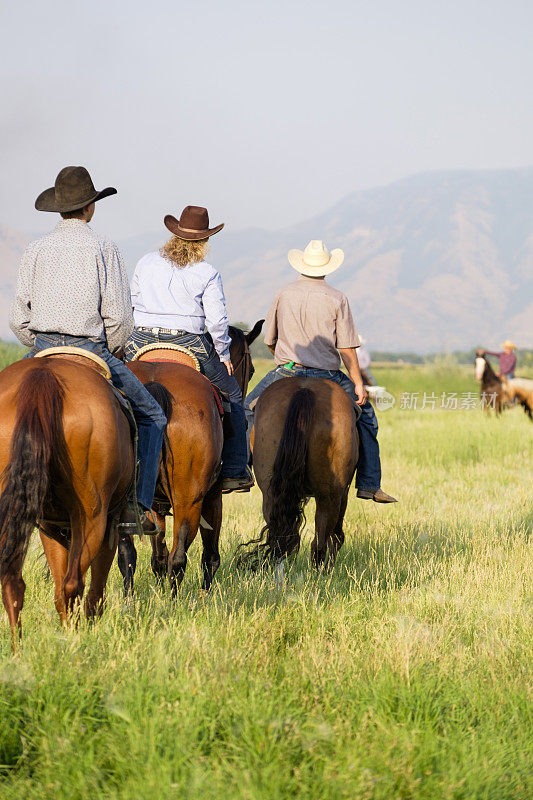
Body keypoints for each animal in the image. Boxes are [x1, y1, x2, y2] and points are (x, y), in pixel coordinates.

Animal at [0, 356, 135, 644]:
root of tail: (44, 376)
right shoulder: (109, 523)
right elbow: (94, 589)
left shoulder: (50, 527)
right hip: (92, 517)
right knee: (74, 584)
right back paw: (76, 641)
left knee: (13, 582)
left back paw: (19, 647)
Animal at [118, 320, 264, 592]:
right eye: (250, 371)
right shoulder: (213, 497)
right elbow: (210, 556)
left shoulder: (156, 505)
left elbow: (158, 557)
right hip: (190, 499)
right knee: (178, 558)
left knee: (127, 556)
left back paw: (129, 600)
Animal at [239, 380, 360, 572]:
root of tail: (304, 391)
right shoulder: (344, 491)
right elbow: (336, 534)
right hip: (330, 494)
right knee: (321, 538)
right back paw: (321, 572)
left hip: (271, 490)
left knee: (281, 531)